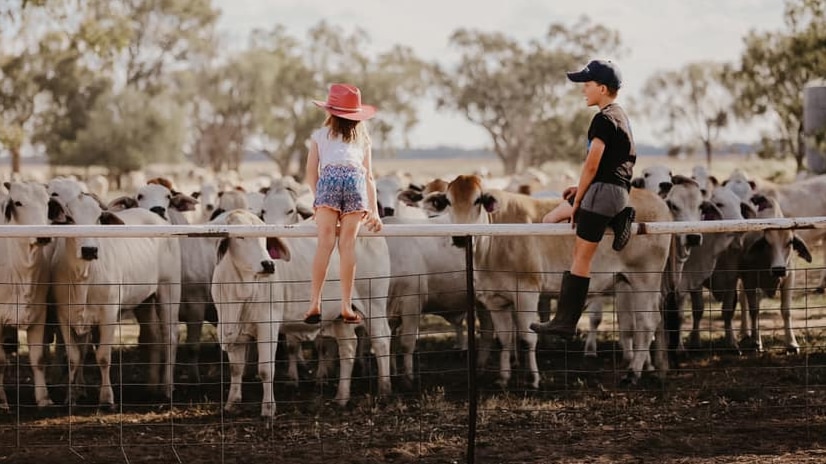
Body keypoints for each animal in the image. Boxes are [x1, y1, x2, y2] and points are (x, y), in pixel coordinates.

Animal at [49, 192, 181, 406]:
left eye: (98, 219)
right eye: (69, 219)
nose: (89, 250)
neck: (83, 278)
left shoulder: (109, 314)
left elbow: (103, 356)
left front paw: (107, 398)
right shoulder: (64, 316)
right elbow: (74, 357)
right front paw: (71, 396)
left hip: (169, 291)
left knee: (170, 336)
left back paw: (167, 388)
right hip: (144, 300)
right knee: (153, 336)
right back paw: (151, 387)